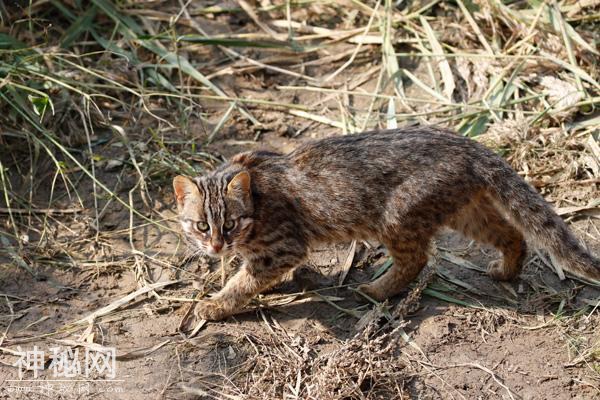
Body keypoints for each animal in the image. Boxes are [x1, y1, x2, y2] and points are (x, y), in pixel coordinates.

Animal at [171, 126, 596, 320]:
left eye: (229, 224)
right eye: (202, 226)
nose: (216, 247)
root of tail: (466, 143)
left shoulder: (283, 247)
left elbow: (243, 283)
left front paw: (214, 305)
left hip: (397, 218)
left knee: (417, 260)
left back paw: (376, 290)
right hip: (464, 211)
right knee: (513, 233)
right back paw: (506, 271)